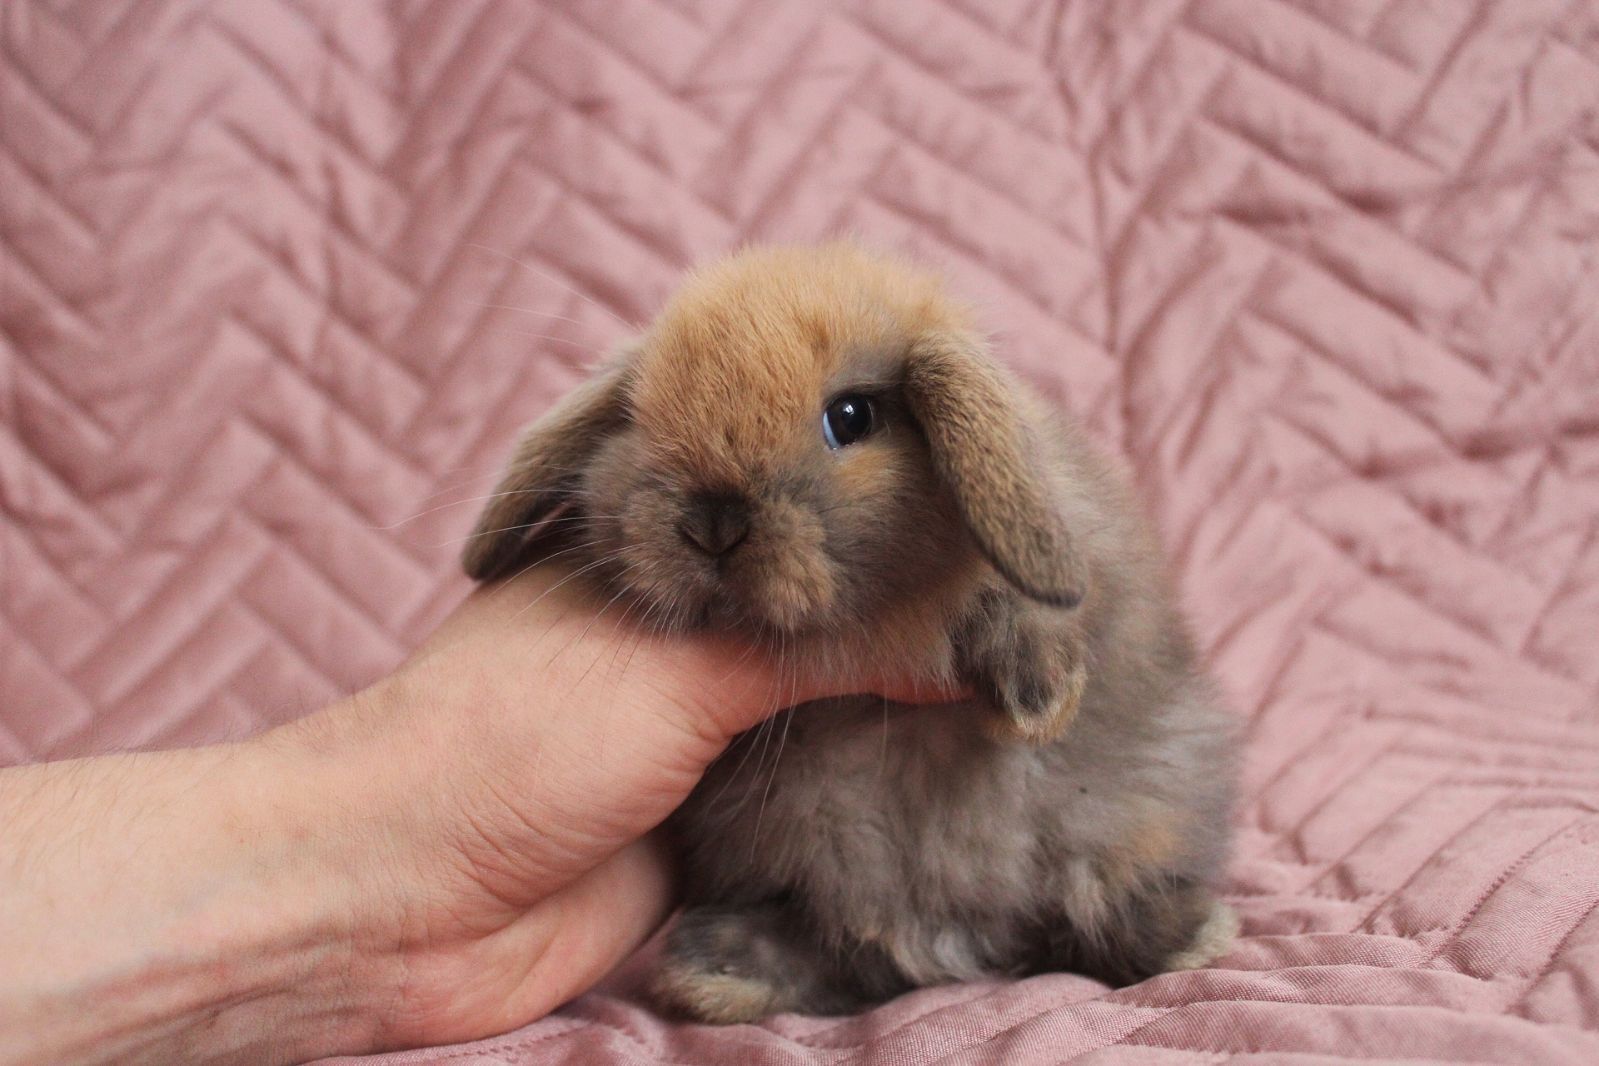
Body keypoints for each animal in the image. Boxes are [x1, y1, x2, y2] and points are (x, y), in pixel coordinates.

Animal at [463, 244, 1234, 1022]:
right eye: (636, 416)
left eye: (852, 417)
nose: (713, 522)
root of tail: (966, 937)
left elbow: (1032, 606)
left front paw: (1037, 699)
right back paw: (715, 972)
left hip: (1140, 812)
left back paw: (1189, 935)